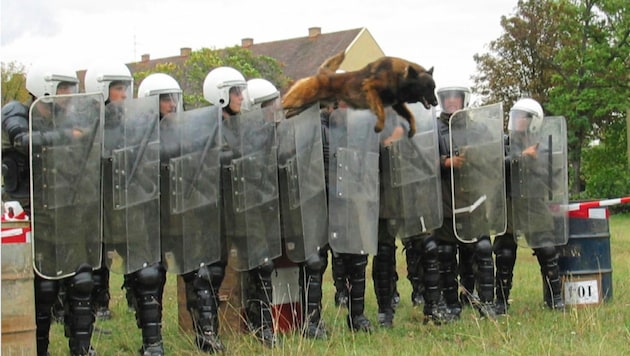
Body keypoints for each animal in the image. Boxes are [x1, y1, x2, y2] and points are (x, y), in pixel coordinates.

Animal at [282, 50, 440, 137]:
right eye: (426, 87)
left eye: (433, 87)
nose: (436, 103)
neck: (399, 77)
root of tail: (324, 74)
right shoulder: (370, 88)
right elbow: (381, 111)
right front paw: (379, 126)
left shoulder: (397, 103)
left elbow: (410, 115)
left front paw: (413, 128)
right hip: (304, 96)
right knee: (286, 102)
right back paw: (281, 103)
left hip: (314, 104)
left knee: (290, 113)